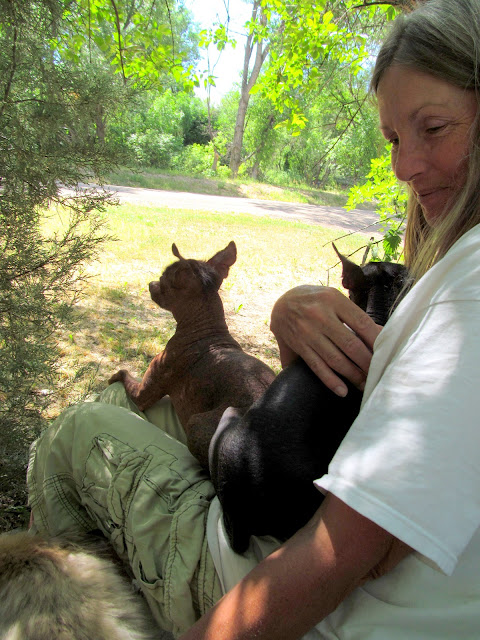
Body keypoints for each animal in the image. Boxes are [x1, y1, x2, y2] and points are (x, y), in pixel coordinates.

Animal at [109, 241, 276, 469]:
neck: (205, 330)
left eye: (163, 278)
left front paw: (114, 376)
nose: (151, 282)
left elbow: (124, 374)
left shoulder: (142, 394)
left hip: (197, 424)